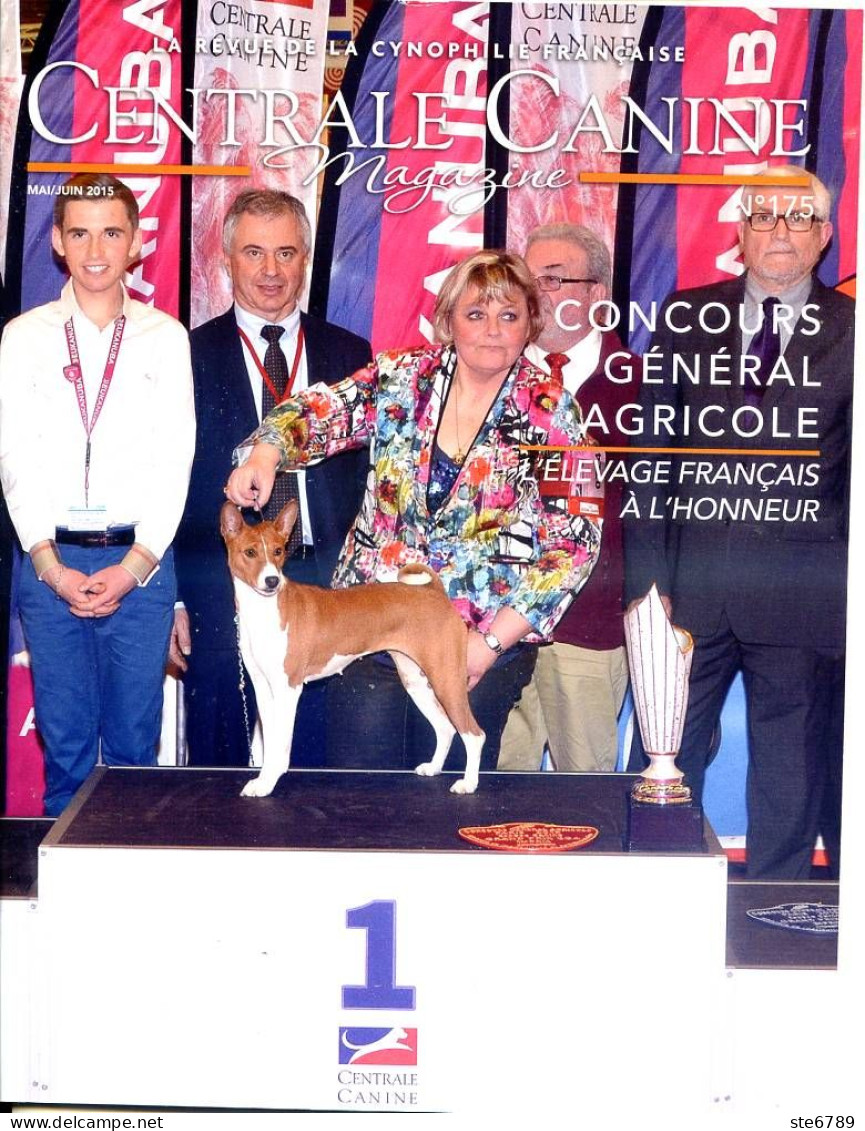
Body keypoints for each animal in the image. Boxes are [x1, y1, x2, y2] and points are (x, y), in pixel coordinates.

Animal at [219, 499, 486, 800]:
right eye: (250, 552)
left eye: (278, 551)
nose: (272, 581)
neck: (264, 612)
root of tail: (434, 592)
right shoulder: (263, 687)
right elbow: (270, 741)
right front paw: (263, 779)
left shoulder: (288, 687)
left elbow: (279, 746)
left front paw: (268, 782)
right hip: (416, 680)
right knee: (446, 728)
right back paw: (434, 768)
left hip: (446, 679)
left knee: (474, 734)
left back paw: (469, 783)